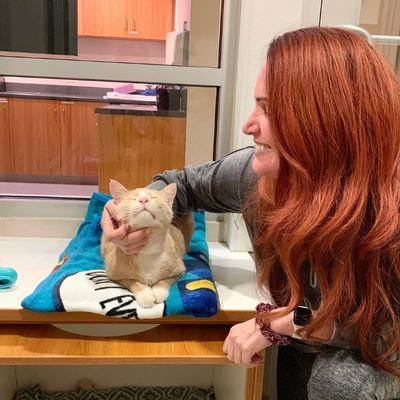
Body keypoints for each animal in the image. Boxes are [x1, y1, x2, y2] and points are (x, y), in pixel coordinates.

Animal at [101, 180, 193, 308]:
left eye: (153, 197)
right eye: (133, 198)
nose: (143, 199)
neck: (148, 249)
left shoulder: (180, 270)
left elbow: (165, 280)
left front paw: (159, 291)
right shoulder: (113, 275)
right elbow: (132, 281)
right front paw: (145, 294)